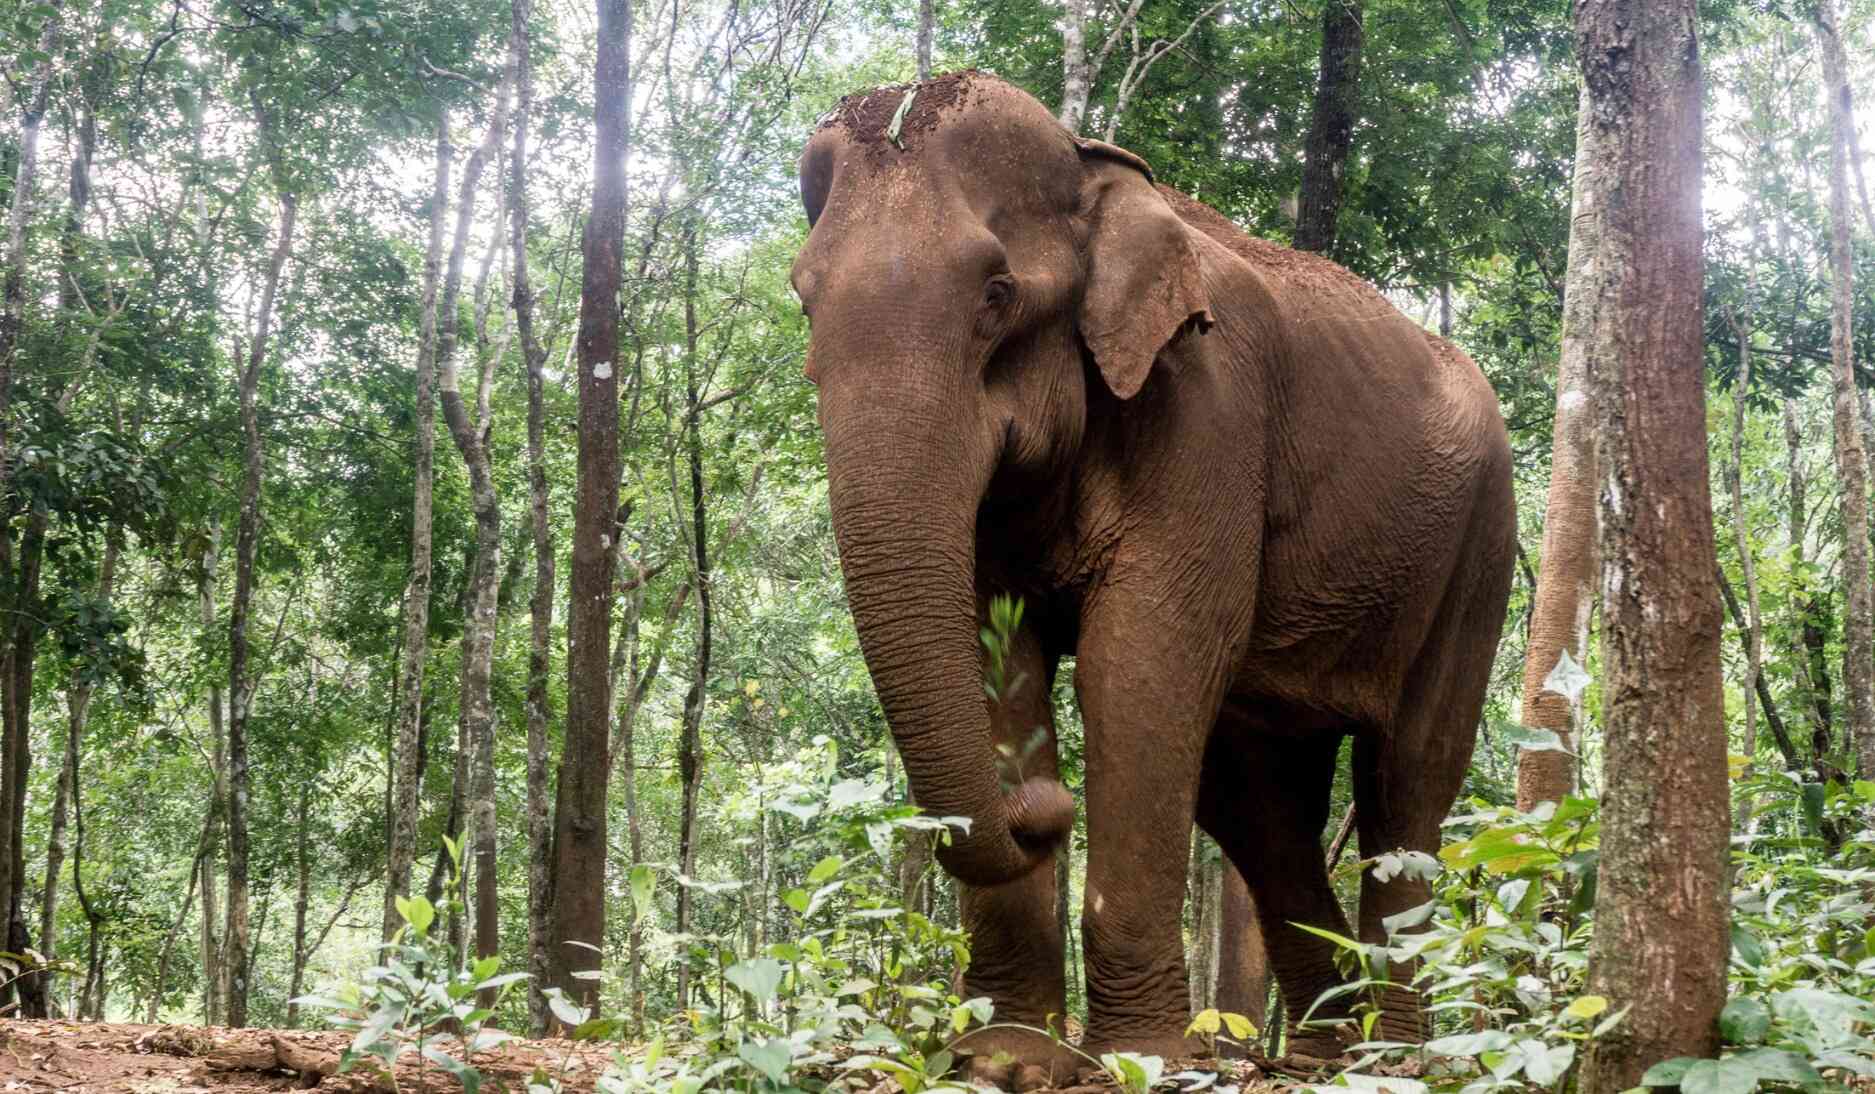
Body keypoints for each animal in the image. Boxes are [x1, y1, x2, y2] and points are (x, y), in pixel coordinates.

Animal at [787, 75, 1507, 1080]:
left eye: (996, 294)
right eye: (802, 302)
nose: (1037, 808)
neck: (1094, 174)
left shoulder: (1206, 409)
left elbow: (1136, 666)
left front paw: (1136, 1058)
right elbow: (997, 659)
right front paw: (1006, 1062)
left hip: (1479, 545)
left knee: (1406, 777)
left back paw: (1391, 1056)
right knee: (1255, 805)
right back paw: (1318, 1056)